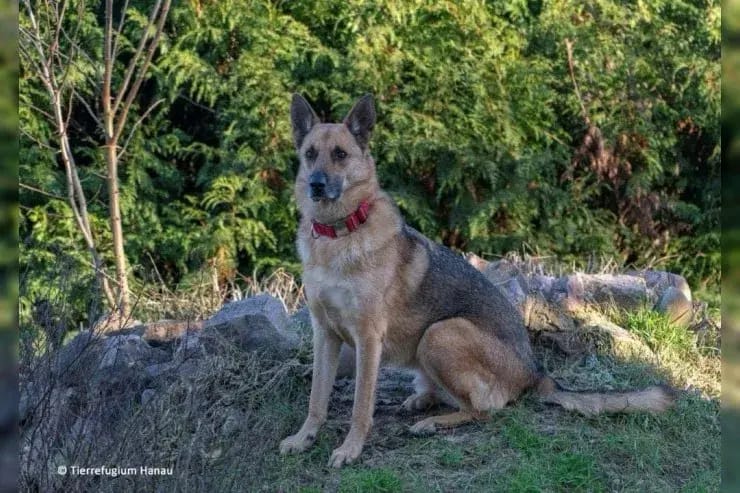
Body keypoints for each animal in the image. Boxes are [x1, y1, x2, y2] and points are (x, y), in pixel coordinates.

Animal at [279, 94, 675, 468]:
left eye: (340, 154)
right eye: (310, 154)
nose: (316, 185)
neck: (340, 233)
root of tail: (536, 372)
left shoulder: (367, 339)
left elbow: (361, 405)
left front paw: (351, 449)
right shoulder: (325, 334)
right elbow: (317, 398)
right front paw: (304, 438)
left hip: (440, 332)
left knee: (484, 410)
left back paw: (433, 423)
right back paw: (422, 400)